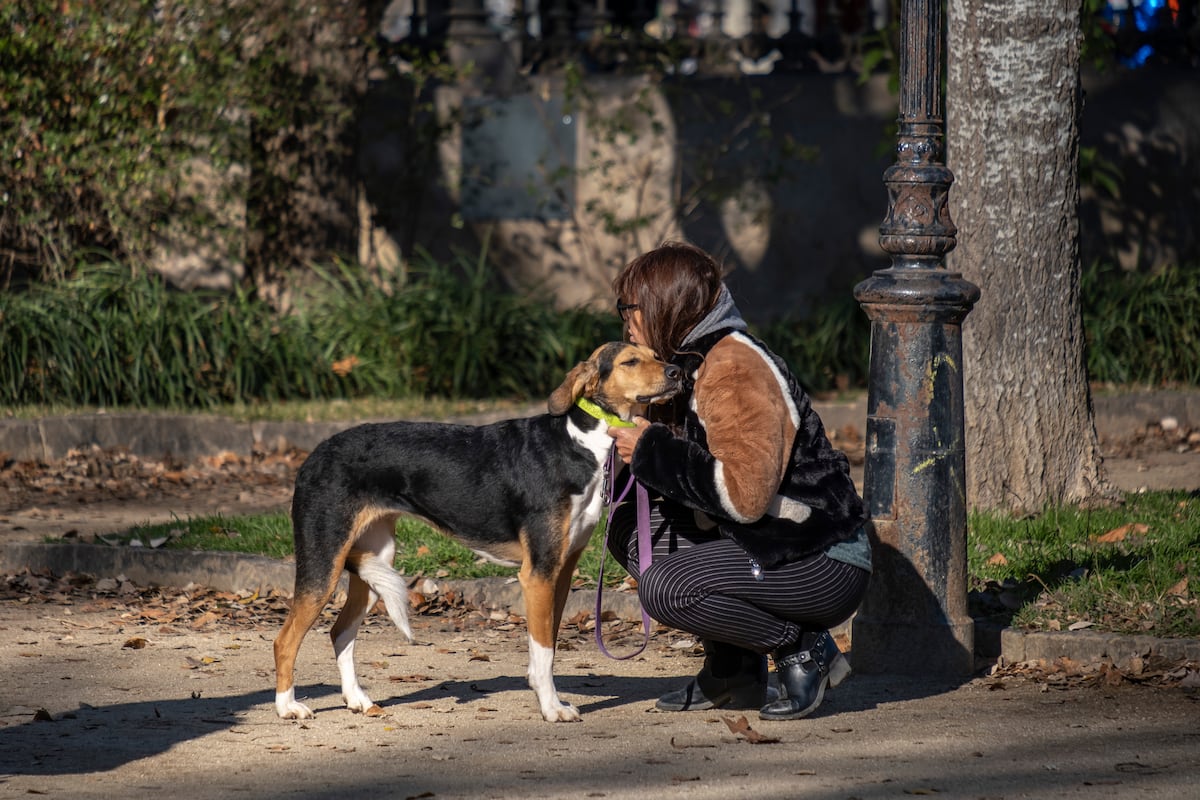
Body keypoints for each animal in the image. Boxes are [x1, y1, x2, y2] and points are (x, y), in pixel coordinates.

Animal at [274, 340, 681, 724]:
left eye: (654, 355)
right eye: (631, 361)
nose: (677, 371)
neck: (579, 441)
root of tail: (312, 457)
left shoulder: (560, 572)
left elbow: (547, 647)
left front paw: (547, 696)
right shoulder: (538, 574)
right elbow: (543, 649)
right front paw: (551, 708)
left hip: (373, 562)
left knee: (340, 632)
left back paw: (357, 700)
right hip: (323, 565)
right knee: (285, 640)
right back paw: (288, 707)